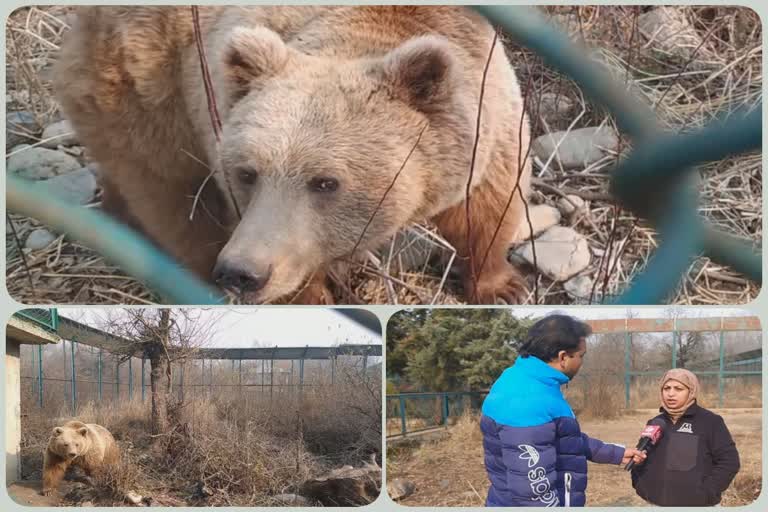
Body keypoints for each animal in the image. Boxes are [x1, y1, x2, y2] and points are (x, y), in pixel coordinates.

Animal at [54, 6, 532, 304]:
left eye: (325, 181)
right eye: (247, 172)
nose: (242, 271)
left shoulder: (485, 128)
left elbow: (489, 207)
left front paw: (503, 286)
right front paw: (310, 297)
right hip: (146, 90)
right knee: (171, 192)